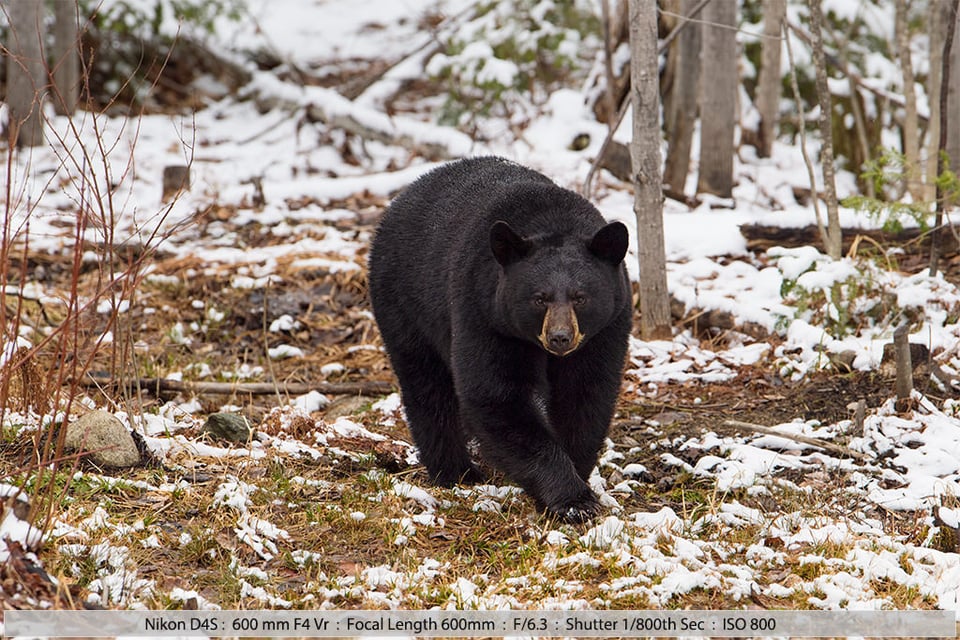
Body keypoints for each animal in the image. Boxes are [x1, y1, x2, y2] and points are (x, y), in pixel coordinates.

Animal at [368, 158, 632, 524]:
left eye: (580, 297)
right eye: (539, 298)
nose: (560, 337)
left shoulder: (605, 329)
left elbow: (585, 394)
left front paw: (578, 475)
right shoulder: (484, 312)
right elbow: (496, 396)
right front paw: (572, 499)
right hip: (403, 302)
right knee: (427, 386)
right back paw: (456, 472)